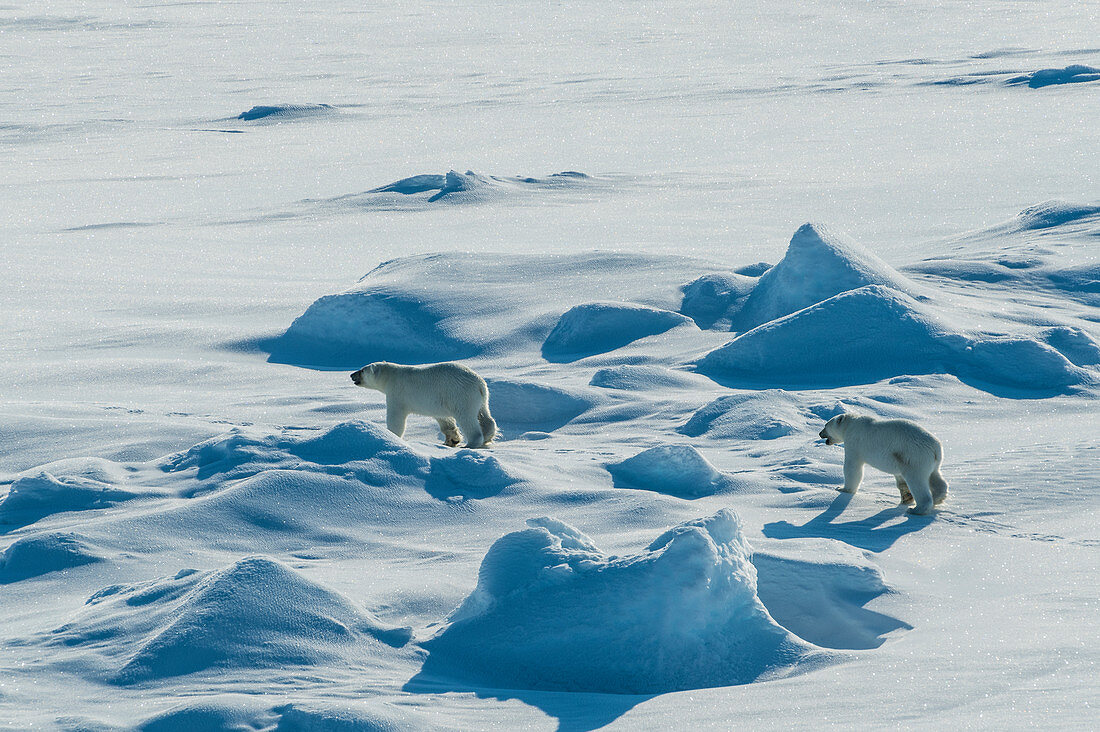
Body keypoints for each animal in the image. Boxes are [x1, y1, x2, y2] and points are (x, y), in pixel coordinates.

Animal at [349, 358, 497, 444]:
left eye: (362, 370)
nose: (351, 375)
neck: (390, 377)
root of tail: (478, 383)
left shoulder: (397, 393)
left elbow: (396, 418)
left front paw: (391, 435)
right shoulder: (438, 402)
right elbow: (445, 419)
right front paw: (452, 439)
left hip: (461, 395)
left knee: (467, 418)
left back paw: (472, 443)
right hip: (482, 397)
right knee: (484, 414)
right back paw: (488, 436)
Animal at [818, 411, 946, 512]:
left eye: (825, 425)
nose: (820, 433)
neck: (850, 424)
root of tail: (935, 447)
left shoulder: (854, 443)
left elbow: (852, 468)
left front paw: (843, 489)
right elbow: (899, 478)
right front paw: (906, 497)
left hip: (915, 457)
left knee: (917, 481)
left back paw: (916, 509)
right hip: (930, 461)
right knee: (936, 477)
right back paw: (938, 498)